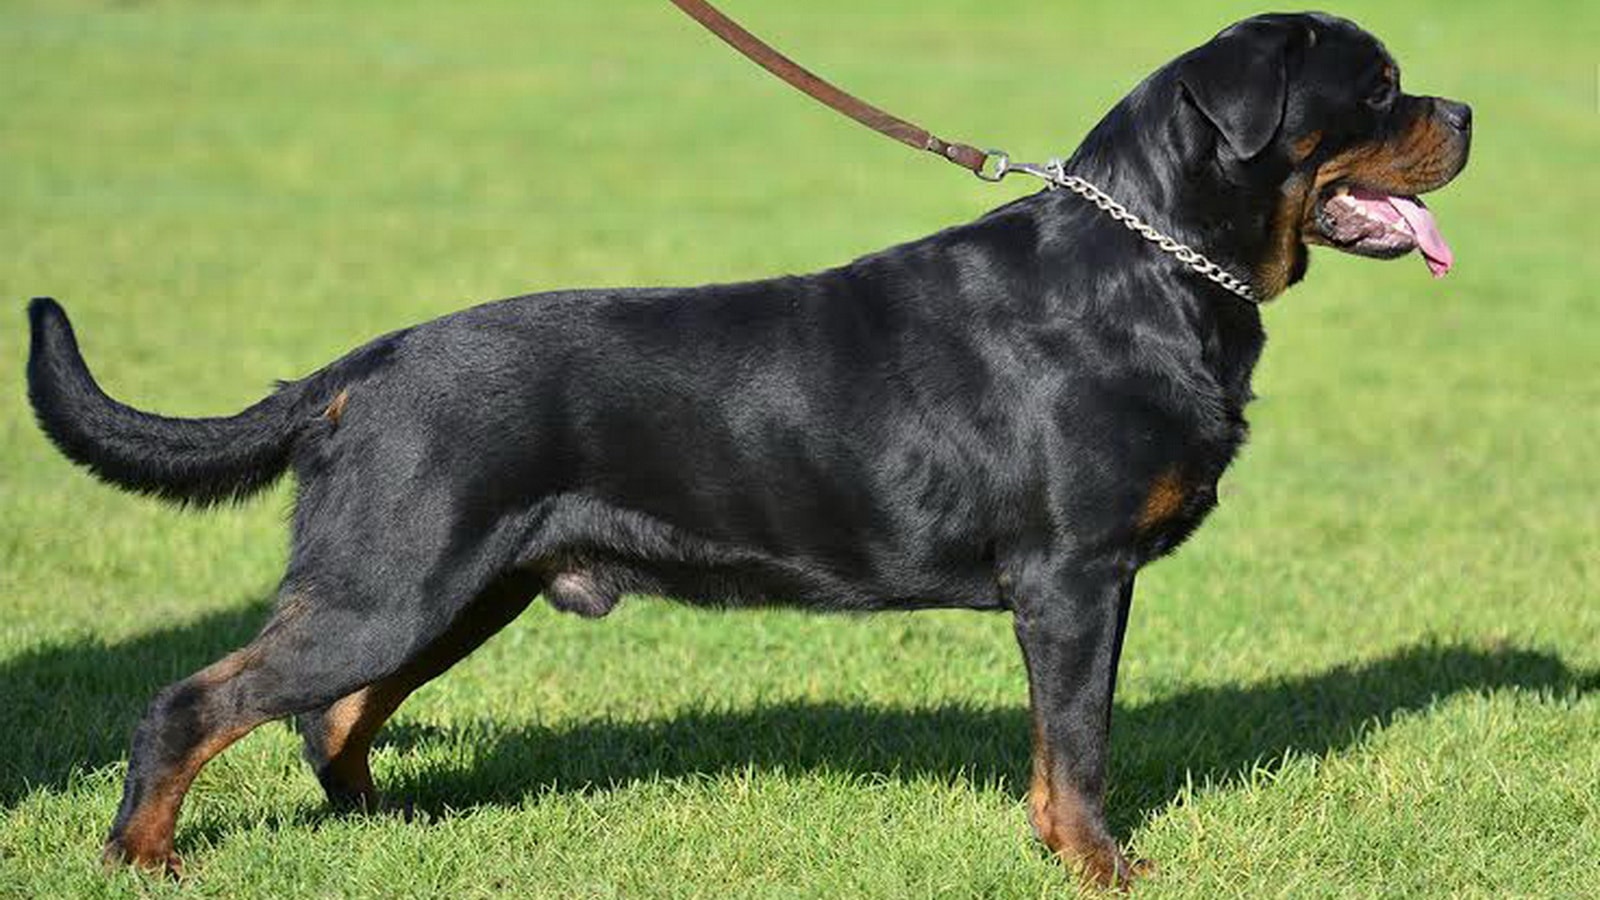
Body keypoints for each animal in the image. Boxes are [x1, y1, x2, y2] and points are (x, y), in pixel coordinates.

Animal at [28, 10, 1472, 883]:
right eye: (1377, 89)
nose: (1464, 113)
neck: (1152, 267)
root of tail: (358, 368)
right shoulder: (1073, 574)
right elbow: (1081, 746)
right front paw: (1102, 870)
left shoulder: (1069, 584)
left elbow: (1053, 750)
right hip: (395, 582)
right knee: (196, 703)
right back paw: (142, 859)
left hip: (458, 588)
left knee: (326, 712)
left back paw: (380, 829)